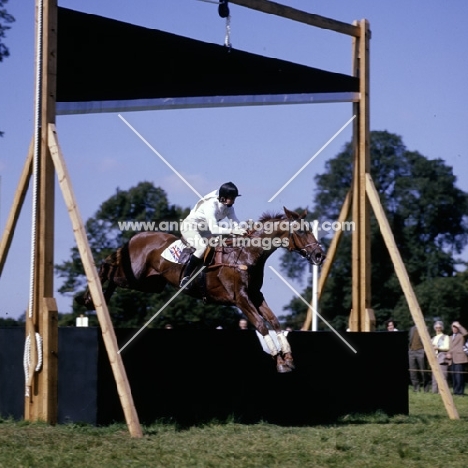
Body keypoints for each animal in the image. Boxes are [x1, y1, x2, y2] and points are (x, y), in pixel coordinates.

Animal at [79, 207, 326, 372]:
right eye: (301, 231)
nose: (319, 255)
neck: (247, 254)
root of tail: (137, 236)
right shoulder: (240, 299)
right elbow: (260, 325)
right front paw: (278, 358)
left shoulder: (256, 296)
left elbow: (274, 322)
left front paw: (288, 357)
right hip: (134, 277)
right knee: (108, 267)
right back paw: (88, 298)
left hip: (151, 284)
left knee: (112, 271)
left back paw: (98, 299)